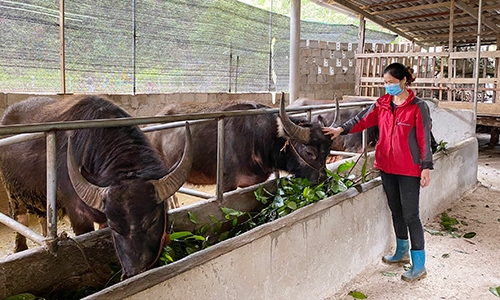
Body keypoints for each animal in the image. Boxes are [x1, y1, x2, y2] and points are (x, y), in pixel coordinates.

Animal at [0, 95, 193, 278]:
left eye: (152, 221)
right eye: (115, 226)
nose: (136, 269)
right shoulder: (78, 215)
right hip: (13, 193)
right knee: (20, 219)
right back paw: (20, 248)